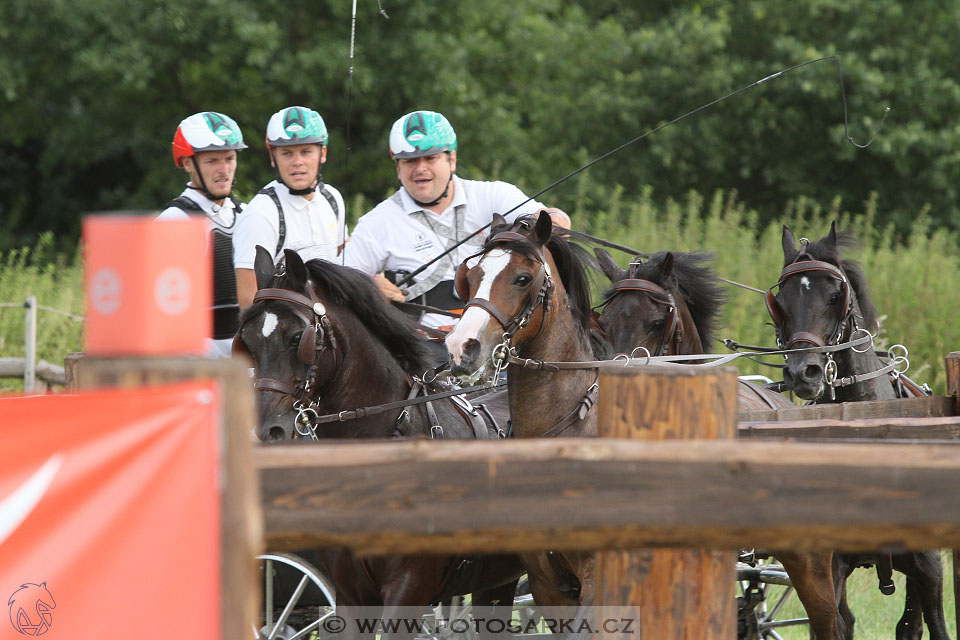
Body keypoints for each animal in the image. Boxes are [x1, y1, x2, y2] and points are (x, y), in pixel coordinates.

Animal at [768, 221, 948, 640]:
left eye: (836, 296)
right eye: (780, 301)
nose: (804, 373)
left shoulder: (929, 567)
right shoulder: (827, 568)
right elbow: (834, 623)